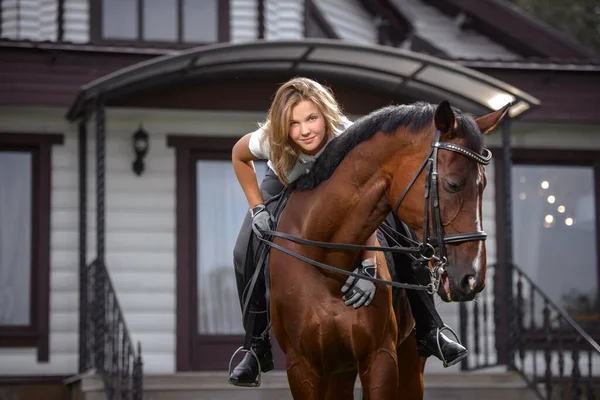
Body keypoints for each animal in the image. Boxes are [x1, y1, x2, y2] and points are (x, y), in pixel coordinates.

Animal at [264, 98, 508, 398]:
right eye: (452, 184)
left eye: (483, 186)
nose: (472, 278)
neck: (328, 261)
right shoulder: (302, 368)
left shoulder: (381, 359)